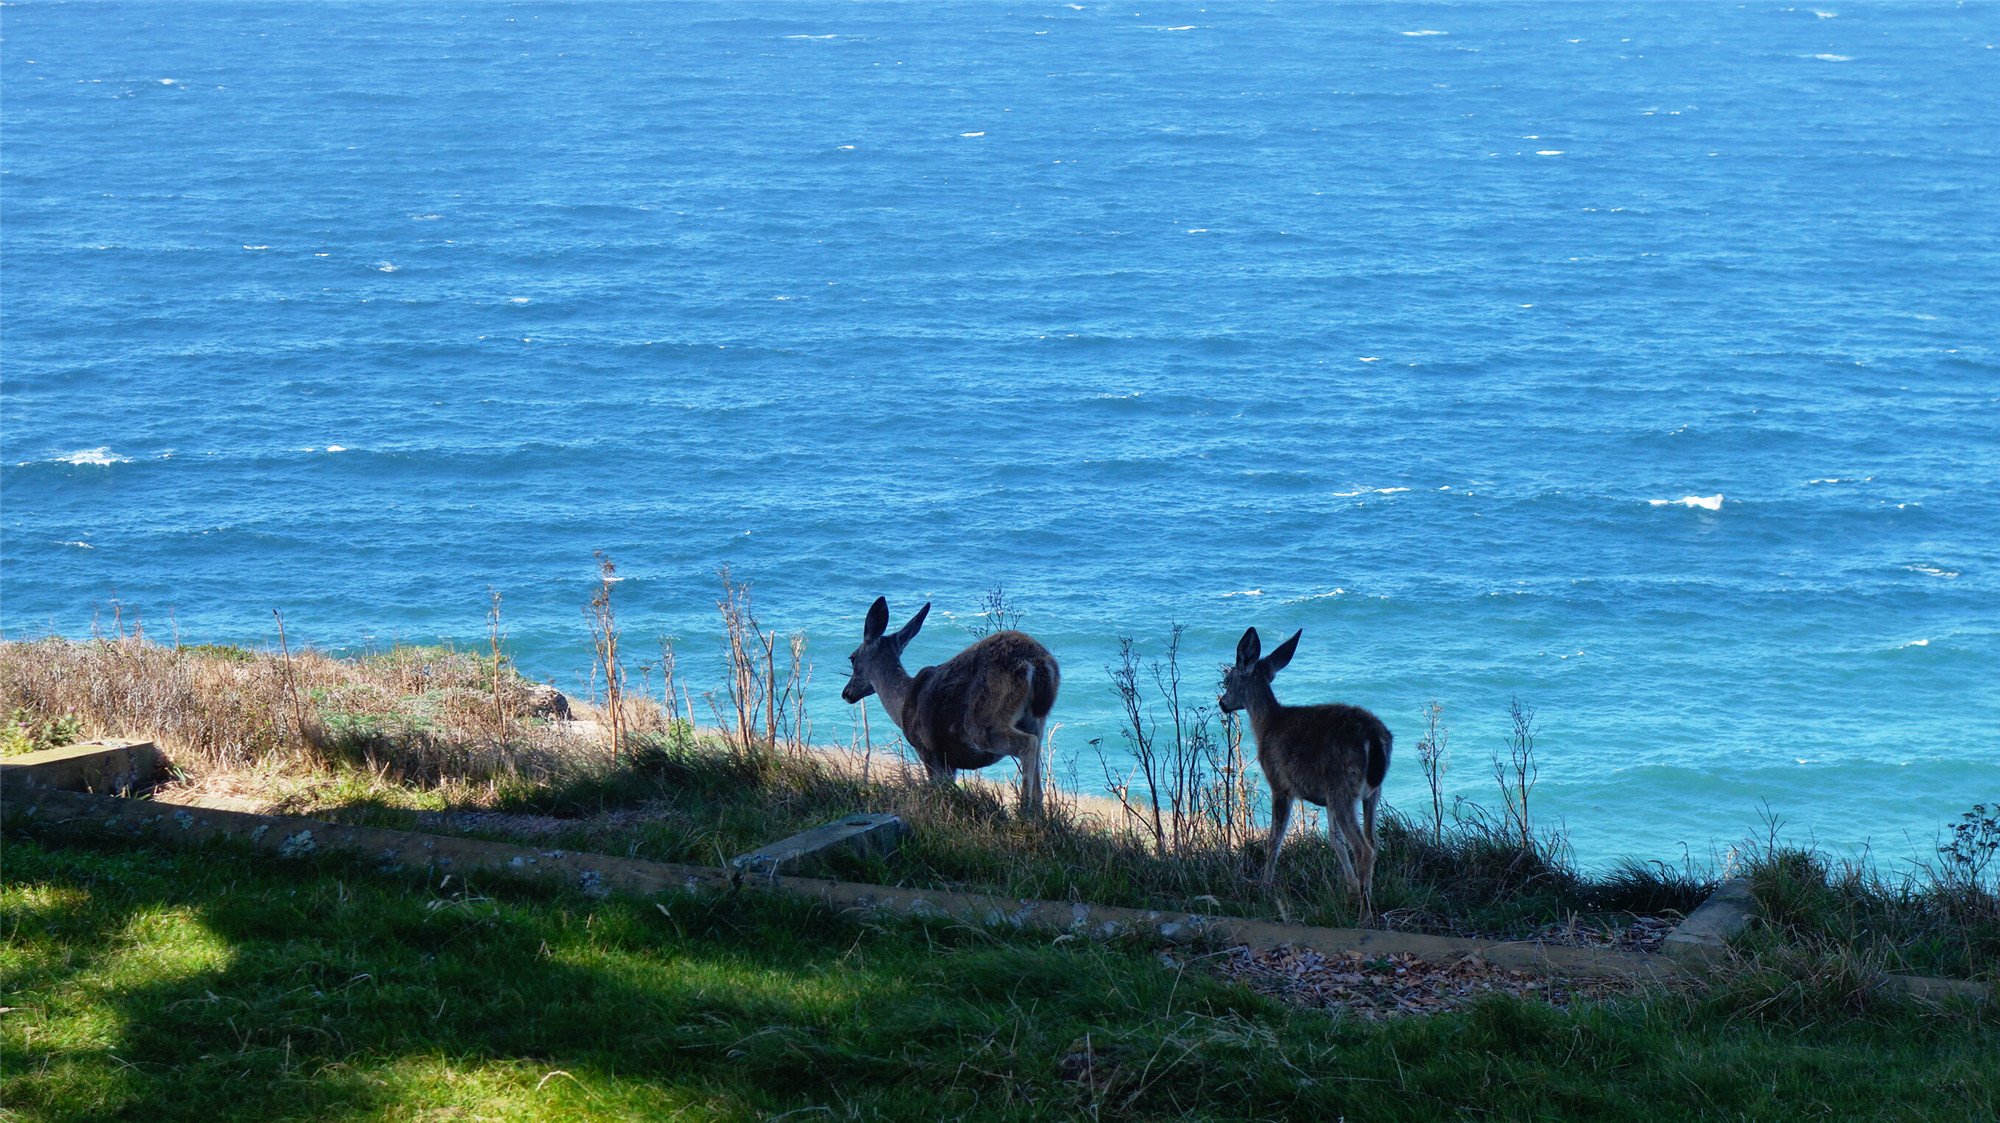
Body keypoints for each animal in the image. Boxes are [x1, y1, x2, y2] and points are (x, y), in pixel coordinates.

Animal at [844, 595, 1064, 811]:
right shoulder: (950, 760)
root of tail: (1037, 663)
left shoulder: (927, 749)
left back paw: (1024, 810)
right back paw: (1038, 813)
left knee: (1027, 745)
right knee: (1038, 756)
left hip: (982, 720)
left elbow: (938, 789)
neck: (901, 703)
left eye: (852, 658)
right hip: (1035, 720)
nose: (846, 693)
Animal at [1216, 623, 1392, 915]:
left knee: (1364, 848)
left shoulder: (1280, 784)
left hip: (1342, 787)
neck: (1266, 724)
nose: (1222, 703)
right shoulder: (1326, 799)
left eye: (1228, 679)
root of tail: (1375, 738)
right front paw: (1350, 888)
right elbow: (1334, 840)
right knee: (1374, 842)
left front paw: (1264, 885)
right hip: (1369, 793)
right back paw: (1366, 896)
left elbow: (1274, 840)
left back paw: (1364, 913)